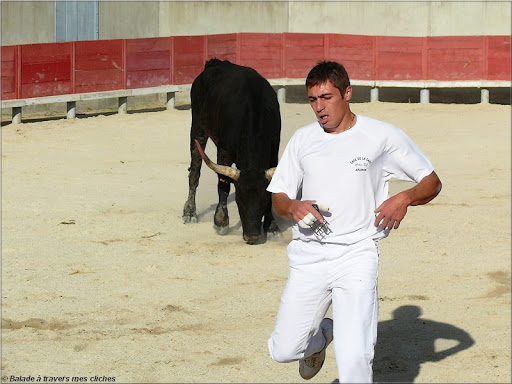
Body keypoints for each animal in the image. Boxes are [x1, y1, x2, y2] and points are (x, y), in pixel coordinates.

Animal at [182, 59, 282, 246]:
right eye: (239, 199)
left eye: (264, 199)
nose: (252, 237)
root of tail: (213, 63)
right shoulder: (224, 151)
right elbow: (224, 184)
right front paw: (221, 221)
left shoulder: (274, 149)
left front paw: (272, 227)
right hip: (197, 126)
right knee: (195, 171)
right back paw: (189, 212)